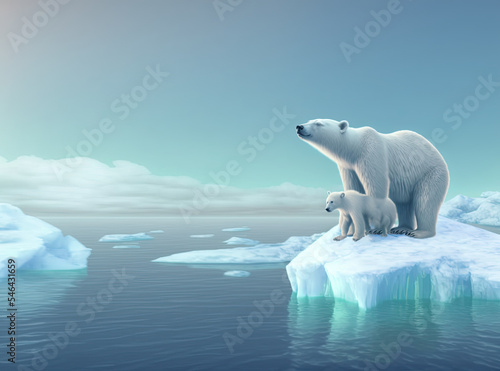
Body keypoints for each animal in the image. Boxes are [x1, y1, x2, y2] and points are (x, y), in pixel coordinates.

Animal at [296, 120, 450, 240]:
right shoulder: (348, 167)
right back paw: (401, 228)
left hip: (431, 173)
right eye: (310, 120)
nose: (299, 126)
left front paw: (375, 228)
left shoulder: (371, 154)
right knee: (404, 204)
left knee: (425, 202)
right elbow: (353, 189)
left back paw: (419, 232)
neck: (355, 147)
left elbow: (377, 188)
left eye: (318, 123)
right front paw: (351, 230)